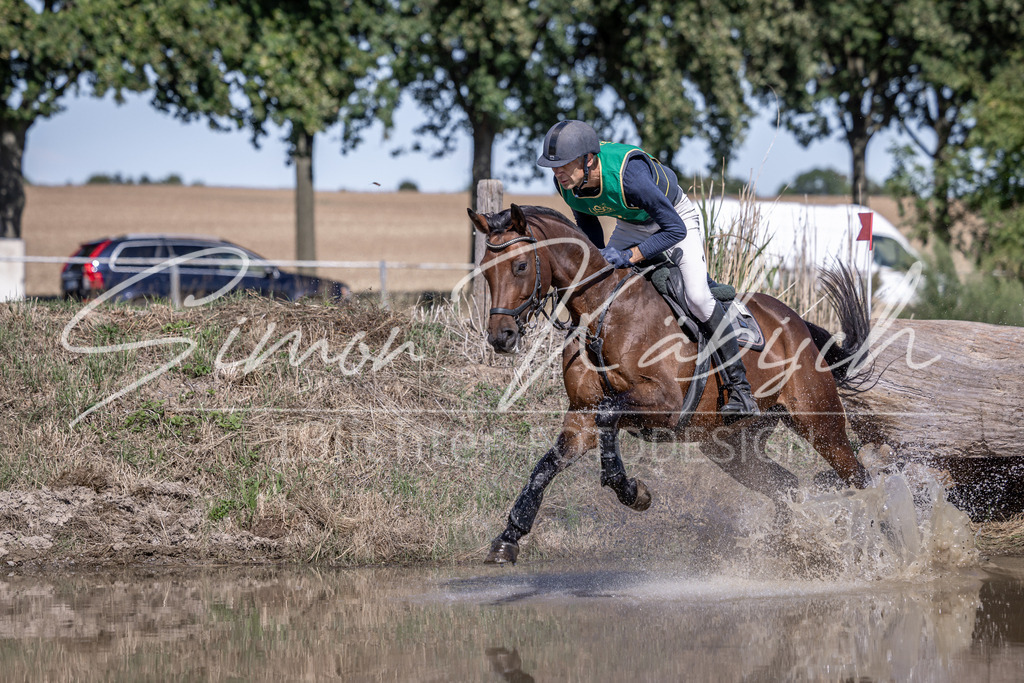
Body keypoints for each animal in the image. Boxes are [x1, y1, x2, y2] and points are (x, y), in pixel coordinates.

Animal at [467, 203, 873, 565]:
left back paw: (874, 543)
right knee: (786, 485)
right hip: (731, 445)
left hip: (818, 421)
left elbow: (608, 413)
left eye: (520, 266)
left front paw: (632, 491)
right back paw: (783, 545)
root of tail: (798, 322)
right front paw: (508, 539)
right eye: (485, 272)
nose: (500, 337)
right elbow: (545, 467)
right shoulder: (581, 416)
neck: (604, 312)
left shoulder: (666, 404)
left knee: (858, 476)